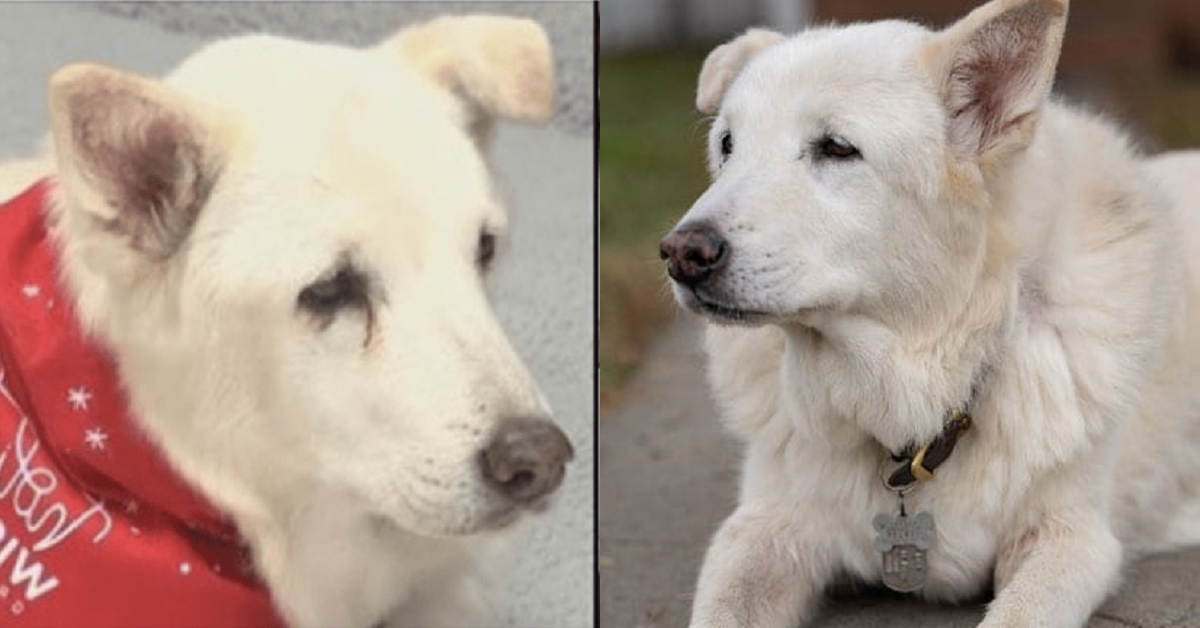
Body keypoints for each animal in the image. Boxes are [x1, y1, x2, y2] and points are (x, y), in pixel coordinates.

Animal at [662, 0, 1200, 624]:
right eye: (728, 145)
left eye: (837, 148)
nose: (681, 254)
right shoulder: (763, 528)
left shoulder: (1071, 539)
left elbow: (1020, 611)